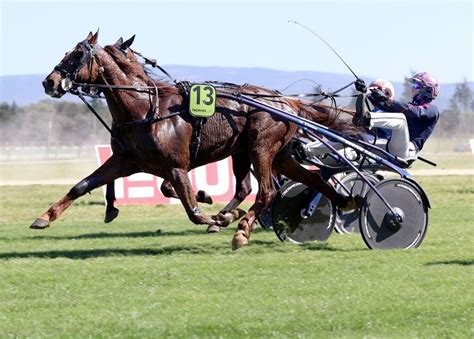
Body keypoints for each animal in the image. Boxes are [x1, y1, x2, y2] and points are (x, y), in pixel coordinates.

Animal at [34, 31, 360, 250]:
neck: (145, 109)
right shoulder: (126, 161)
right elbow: (82, 186)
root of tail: (287, 102)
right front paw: (45, 217)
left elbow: (191, 209)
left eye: (77, 55)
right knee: (309, 180)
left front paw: (219, 218)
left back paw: (242, 230)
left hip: (261, 149)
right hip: (267, 154)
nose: (50, 81)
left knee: (267, 191)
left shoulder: (176, 166)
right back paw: (345, 201)